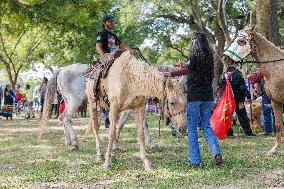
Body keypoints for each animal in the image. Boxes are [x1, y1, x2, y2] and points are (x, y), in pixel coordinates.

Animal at [224, 27, 284, 157]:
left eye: (241, 41)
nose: (225, 58)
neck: (276, 69)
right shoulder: (276, 102)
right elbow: (278, 125)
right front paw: (274, 149)